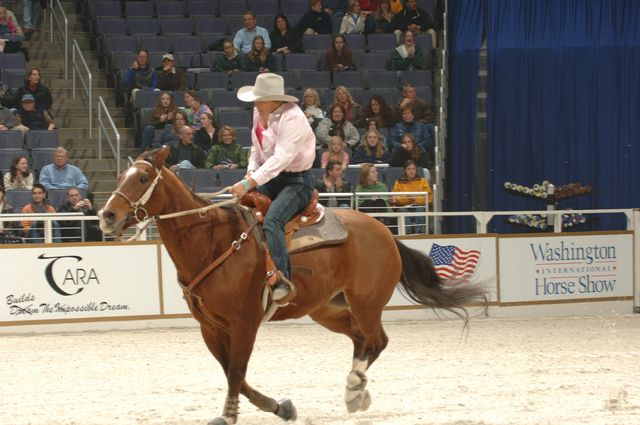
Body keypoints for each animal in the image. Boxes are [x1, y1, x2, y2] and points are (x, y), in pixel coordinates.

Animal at [99, 147, 490, 424]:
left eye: (142, 177)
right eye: (120, 175)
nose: (107, 216)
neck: (212, 240)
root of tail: (384, 231)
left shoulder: (245, 322)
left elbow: (236, 371)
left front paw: (228, 415)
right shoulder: (209, 327)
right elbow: (233, 373)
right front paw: (281, 407)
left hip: (366, 302)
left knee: (377, 340)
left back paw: (353, 388)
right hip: (327, 309)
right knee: (361, 340)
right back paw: (357, 389)